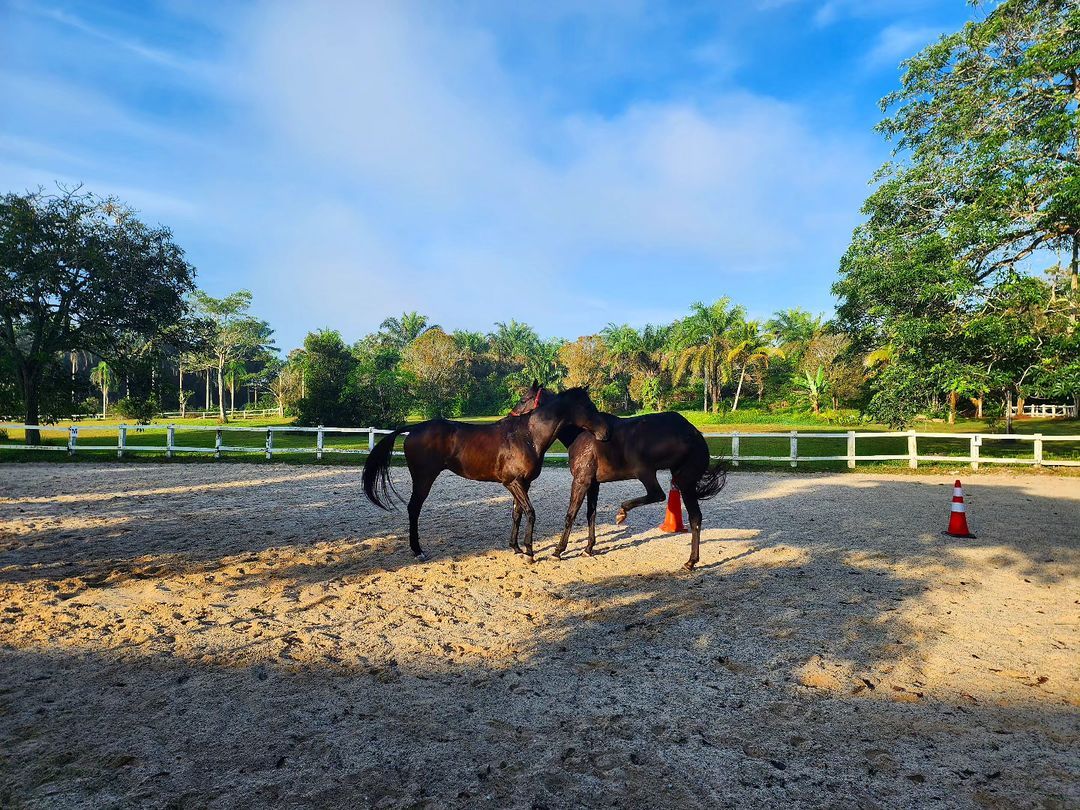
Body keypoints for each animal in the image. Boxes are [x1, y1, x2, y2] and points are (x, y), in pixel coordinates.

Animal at [362, 385, 610, 562]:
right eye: (588, 407)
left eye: (524, 399)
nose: (605, 433)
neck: (527, 436)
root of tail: (414, 428)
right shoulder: (512, 482)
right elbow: (530, 512)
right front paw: (529, 552)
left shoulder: (523, 484)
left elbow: (517, 513)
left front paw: (516, 548)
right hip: (424, 478)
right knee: (413, 509)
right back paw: (418, 550)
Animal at [509, 388, 726, 570]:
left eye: (523, 399)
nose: (510, 418)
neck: (582, 434)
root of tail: (693, 432)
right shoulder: (593, 484)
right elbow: (591, 515)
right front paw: (588, 549)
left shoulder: (581, 481)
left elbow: (571, 514)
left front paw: (558, 551)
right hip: (681, 480)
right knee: (694, 517)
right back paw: (691, 561)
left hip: (654, 474)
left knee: (660, 496)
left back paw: (623, 512)